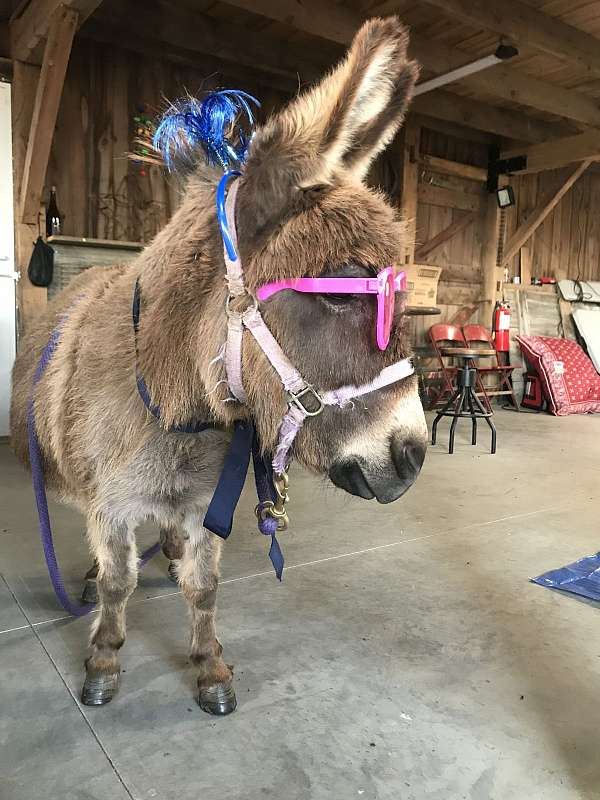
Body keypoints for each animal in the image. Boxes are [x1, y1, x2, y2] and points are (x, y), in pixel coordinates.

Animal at [9, 16, 426, 715]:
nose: (414, 456)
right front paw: (104, 660)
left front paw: (209, 668)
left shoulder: (206, 498)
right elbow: (120, 582)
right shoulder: (110, 506)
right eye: (342, 291)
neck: (172, 409)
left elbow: (203, 587)